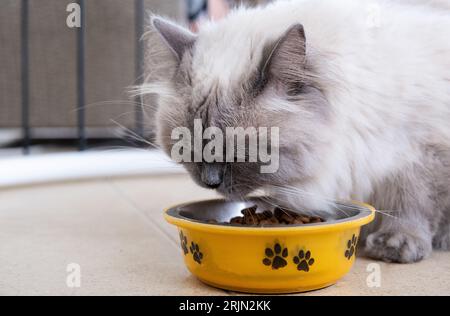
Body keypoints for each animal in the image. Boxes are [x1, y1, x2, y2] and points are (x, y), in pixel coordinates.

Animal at [142, 0, 450, 262]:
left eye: (241, 152)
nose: (210, 182)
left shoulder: (417, 153)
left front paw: (396, 244)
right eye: (188, 147)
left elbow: (410, 202)